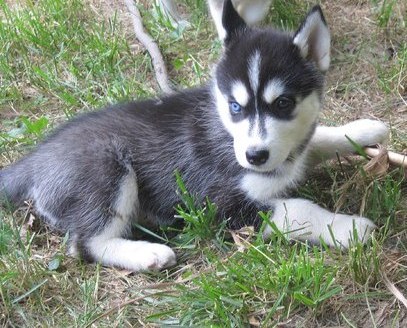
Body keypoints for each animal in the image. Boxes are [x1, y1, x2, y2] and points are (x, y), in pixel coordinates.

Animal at [0, 0, 388, 272]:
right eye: (235, 106)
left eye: (283, 104)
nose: (254, 156)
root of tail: (34, 160)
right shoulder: (218, 204)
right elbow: (299, 209)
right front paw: (347, 228)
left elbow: (318, 138)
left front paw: (364, 129)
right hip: (106, 170)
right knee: (85, 244)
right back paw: (148, 254)